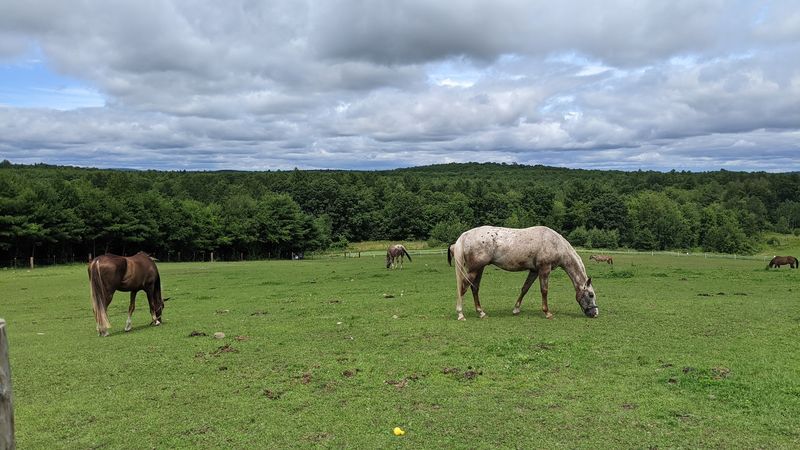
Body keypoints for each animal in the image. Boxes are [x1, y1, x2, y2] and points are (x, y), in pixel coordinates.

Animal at [449, 226, 597, 321]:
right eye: (591, 295)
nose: (595, 313)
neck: (555, 243)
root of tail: (466, 235)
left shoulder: (534, 271)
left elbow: (525, 288)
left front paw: (516, 309)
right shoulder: (544, 269)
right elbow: (544, 290)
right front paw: (547, 313)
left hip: (479, 269)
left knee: (474, 288)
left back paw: (481, 313)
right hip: (474, 270)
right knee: (463, 288)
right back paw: (460, 314)